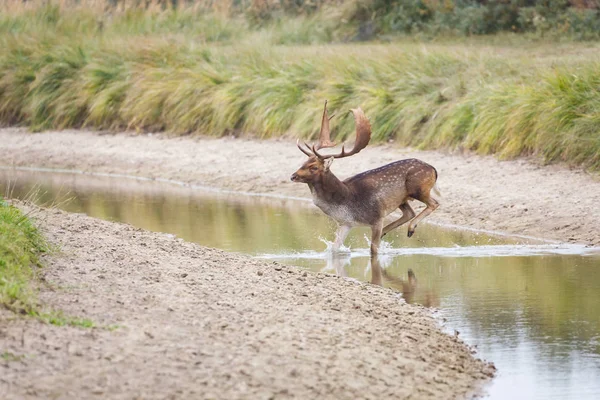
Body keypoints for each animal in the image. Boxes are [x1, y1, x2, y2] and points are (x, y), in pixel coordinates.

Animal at [290, 101, 440, 255]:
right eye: (304, 163)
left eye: (314, 167)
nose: (293, 176)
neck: (345, 200)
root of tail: (433, 169)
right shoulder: (346, 223)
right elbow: (334, 248)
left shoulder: (376, 217)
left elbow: (373, 249)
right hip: (402, 199)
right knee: (409, 212)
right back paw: (392, 231)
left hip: (418, 188)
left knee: (434, 203)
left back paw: (410, 228)